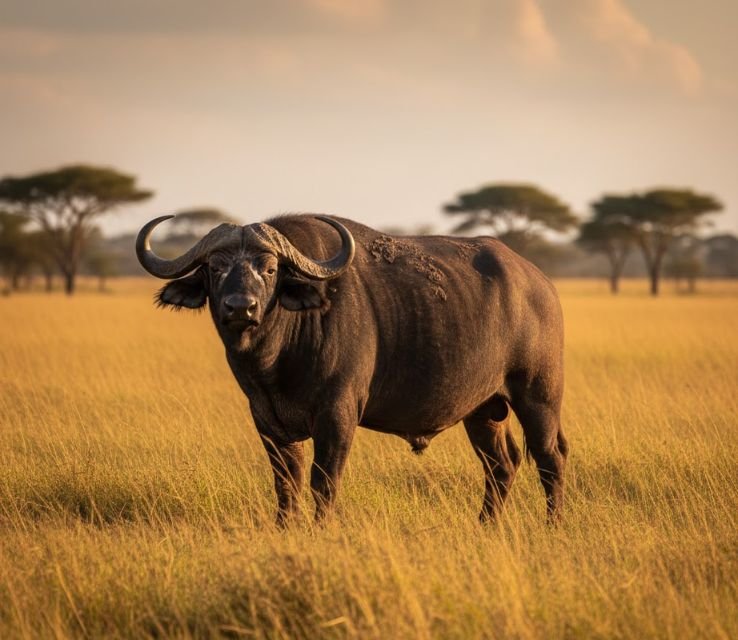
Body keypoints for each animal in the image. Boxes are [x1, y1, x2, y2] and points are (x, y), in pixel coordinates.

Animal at [136, 214, 568, 524]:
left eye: (270, 269)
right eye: (215, 268)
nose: (240, 307)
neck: (276, 361)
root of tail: (539, 283)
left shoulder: (338, 415)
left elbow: (323, 481)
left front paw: (321, 529)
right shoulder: (268, 421)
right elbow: (286, 482)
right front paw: (285, 528)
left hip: (539, 397)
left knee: (550, 458)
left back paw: (552, 525)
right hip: (483, 410)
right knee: (501, 464)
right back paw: (485, 525)